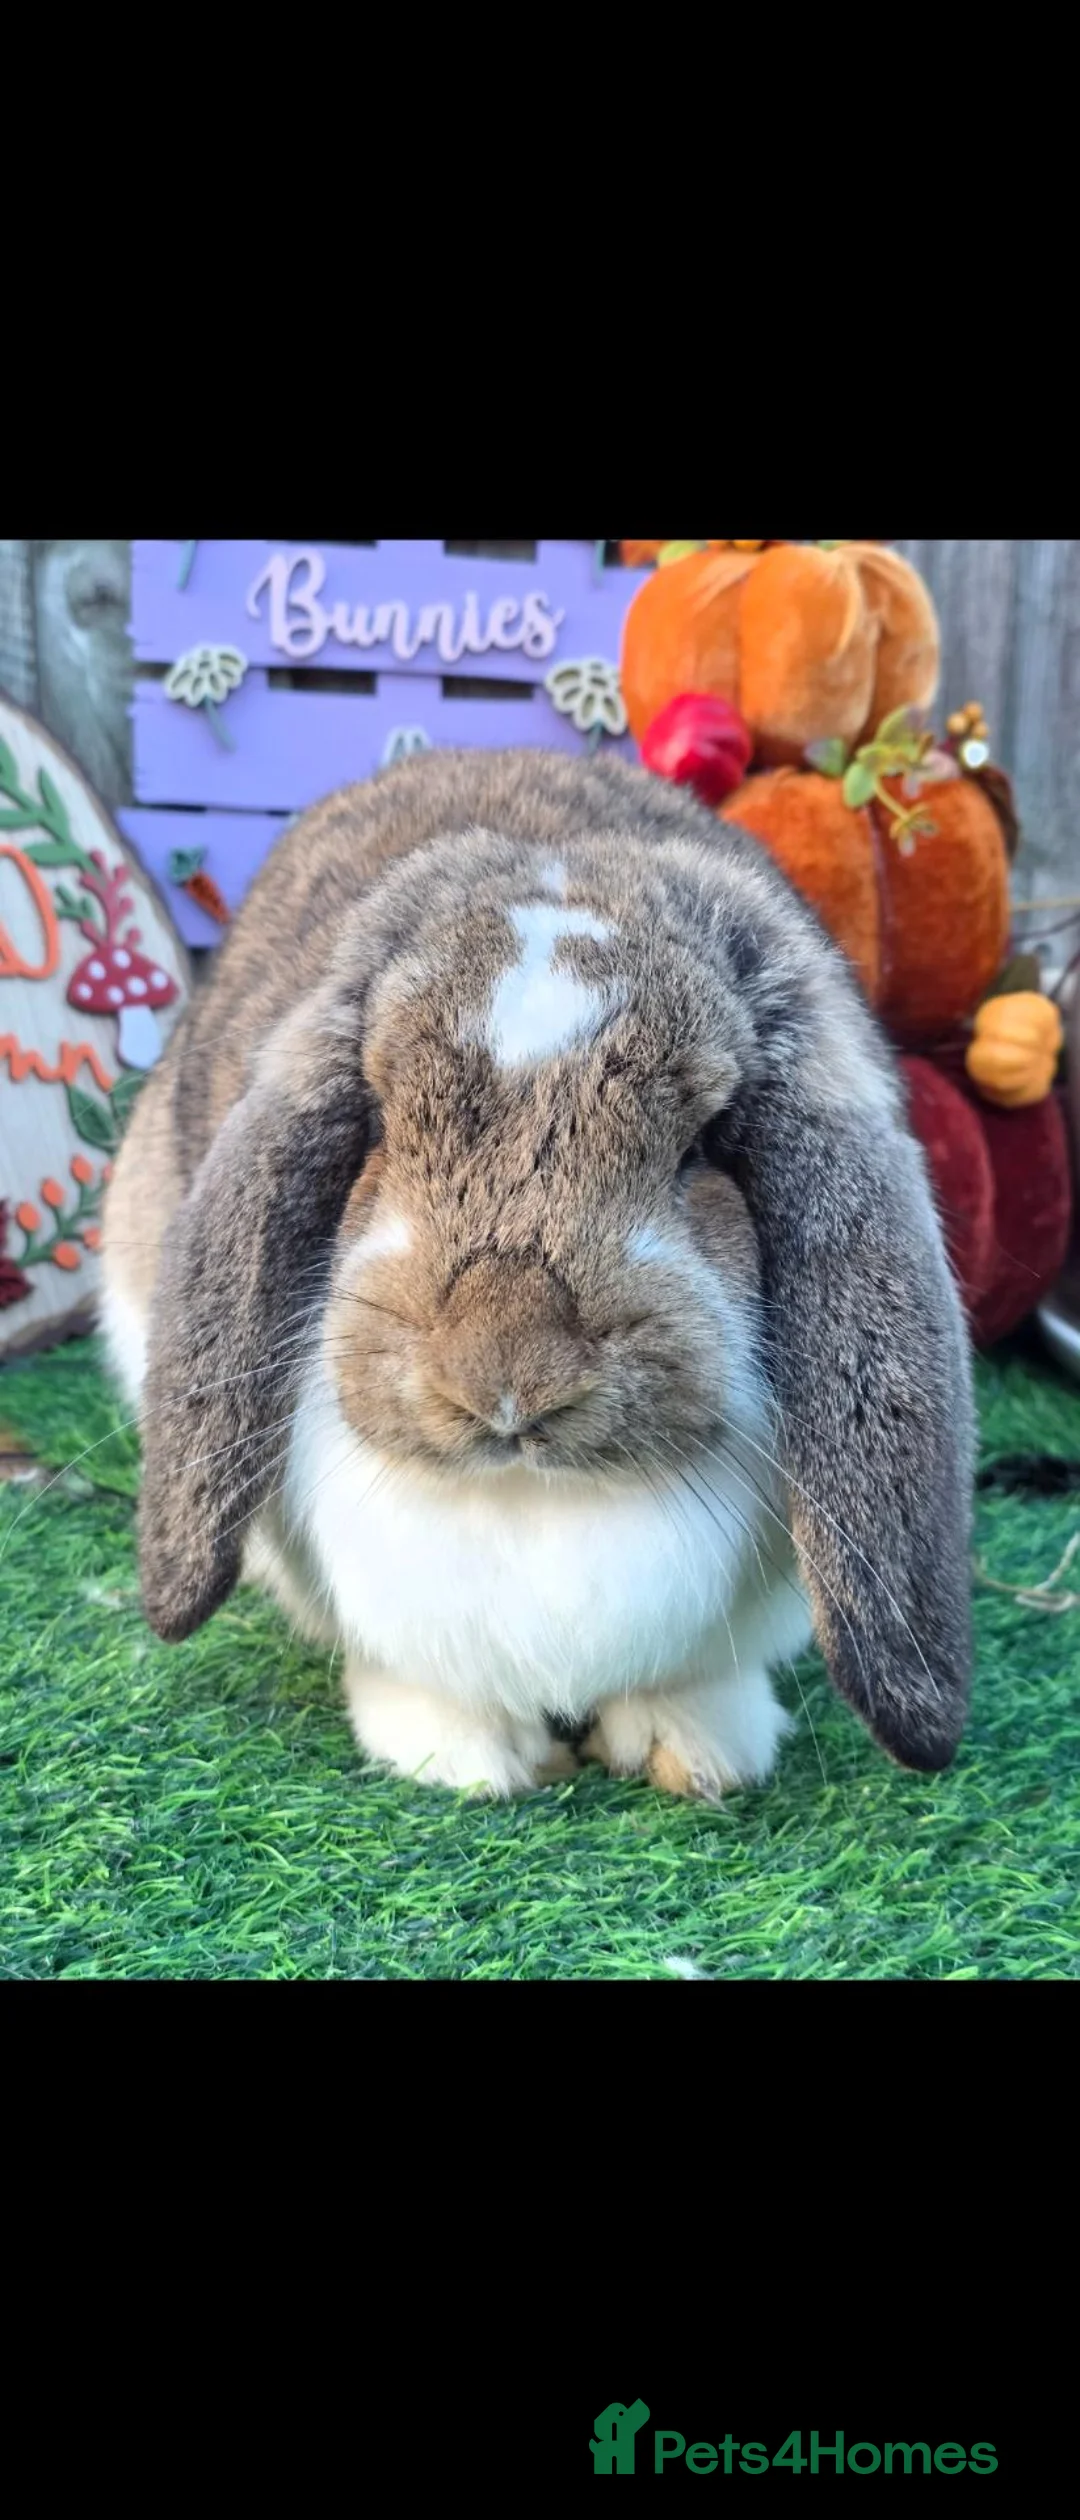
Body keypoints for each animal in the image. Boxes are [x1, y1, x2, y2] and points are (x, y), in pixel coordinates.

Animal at [101, 748, 974, 1800]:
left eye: (705, 1146)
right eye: (380, 1122)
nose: (507, 1379)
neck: (537, 1501)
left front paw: (699, 1753)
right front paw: (468, 1762)